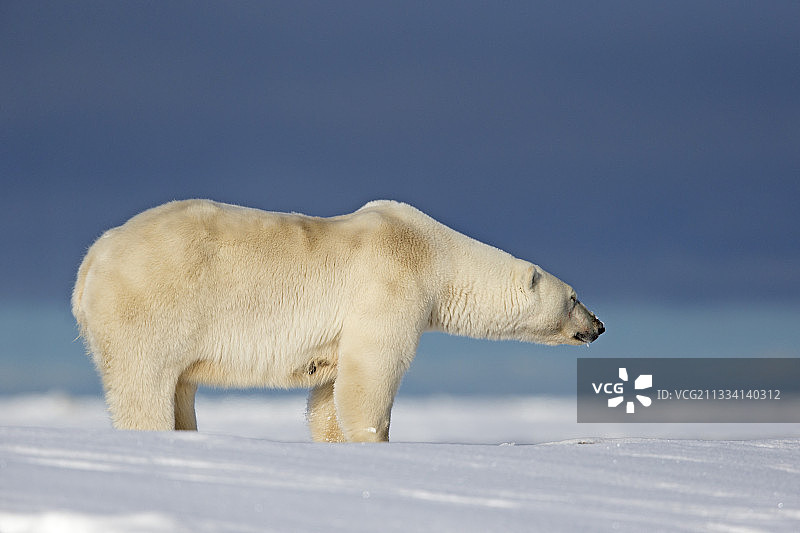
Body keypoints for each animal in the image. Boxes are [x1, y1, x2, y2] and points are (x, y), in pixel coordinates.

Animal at [73, 200, 600, 440]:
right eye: (574, 297)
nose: (598, 325)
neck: (434, 252)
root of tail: (91, 260)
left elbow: (330, 388)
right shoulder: (390, 283)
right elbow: (372, 370)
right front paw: (376, 438)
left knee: (180, 387)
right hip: (149, 307)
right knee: (145, 384)